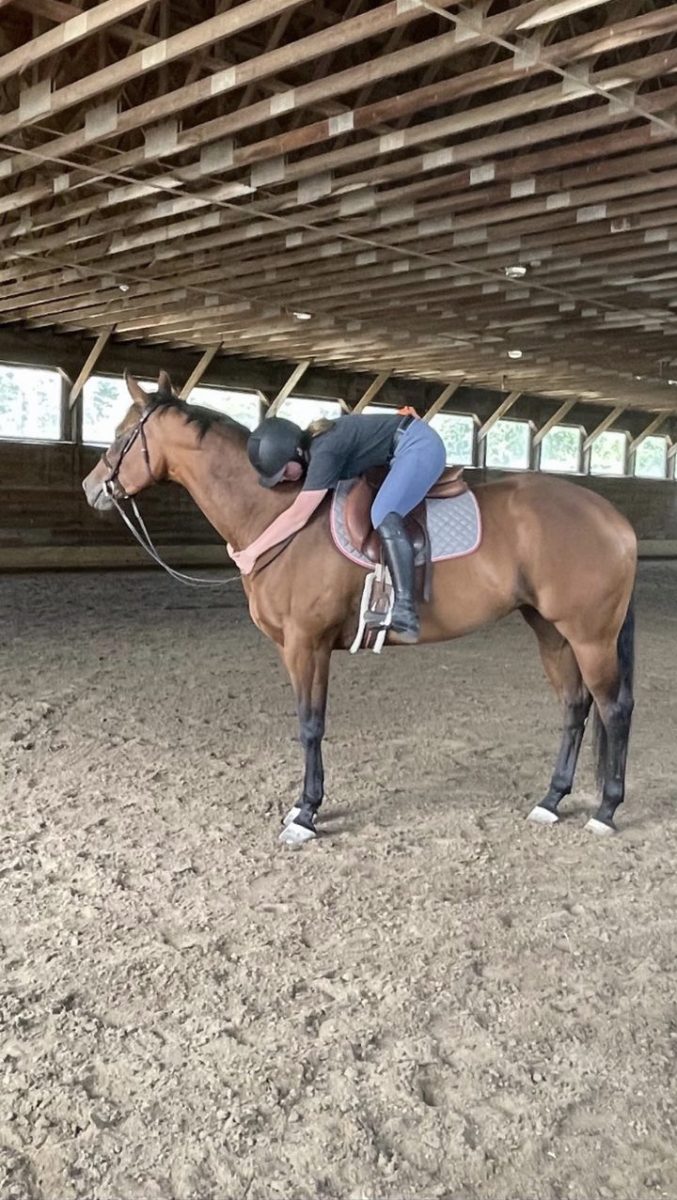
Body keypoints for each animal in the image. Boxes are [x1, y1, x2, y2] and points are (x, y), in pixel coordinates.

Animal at [82, 369, 638, 849]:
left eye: (123, 433)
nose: (92, 487)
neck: (277, 515)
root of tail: (612, 518)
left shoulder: (307, 644)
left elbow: (311, 724)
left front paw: (306, 812)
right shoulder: (295, 648)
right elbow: (307, 721)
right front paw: (305, 806)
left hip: (590, 636)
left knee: (613, 709)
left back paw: (606, 810)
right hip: (551, 631)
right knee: (575, 706)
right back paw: (551, 799)